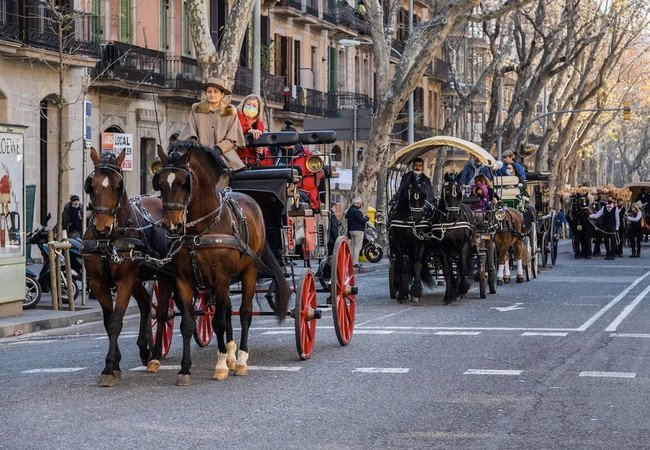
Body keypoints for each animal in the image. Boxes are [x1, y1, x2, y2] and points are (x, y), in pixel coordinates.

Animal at [81, 149, 175, 386]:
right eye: (91, 185)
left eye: (118, 185)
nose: (102, 228)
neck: (109, 241)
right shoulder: (98, 283)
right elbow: (108, 322)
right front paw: (115, 363)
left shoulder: (124, 281)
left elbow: (116, 322)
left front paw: (109, 367)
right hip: (138, 278)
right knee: (145, 304)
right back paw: (144, 349)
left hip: (164, 275)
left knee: (162, 313)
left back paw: (155, 354)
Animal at [153, 142, 288, 386]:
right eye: (160, 183)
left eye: (183, 183)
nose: (171, 224)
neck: (201, 229)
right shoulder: (183, 279)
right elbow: (188, 324)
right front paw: (185, 369)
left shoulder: (222, 278)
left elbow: (219, 323)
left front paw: (221, 366)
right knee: (226, 311)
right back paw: (232, 354)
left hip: (249, 272)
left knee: (244, 314)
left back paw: (241, 360)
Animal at [388, 174, 432, 304]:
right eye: (411, 194)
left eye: (424, 194)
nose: (417, 217)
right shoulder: (398, 244)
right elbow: (403, 267)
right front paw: (403, 294)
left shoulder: (420, 241)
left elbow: (417, 264)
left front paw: (416, 292)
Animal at [432, 174, 478, 304]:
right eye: (446, 191)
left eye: (459, 192)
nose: (453, 216)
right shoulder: (442, 246)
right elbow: (447, 270)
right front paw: (449, 295)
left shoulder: (464, 243)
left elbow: (461, 267)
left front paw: (461, 289)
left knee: (461, 265)